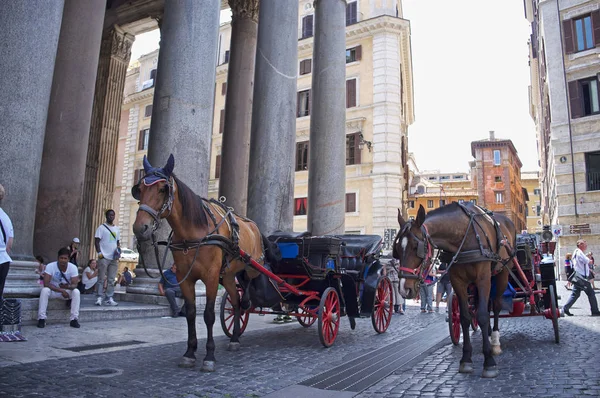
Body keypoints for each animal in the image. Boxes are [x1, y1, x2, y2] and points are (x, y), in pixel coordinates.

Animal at [132, 154, 264, 372]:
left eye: (162, 189)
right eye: (139, 189)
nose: (140, 227)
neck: (193, 232)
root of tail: (253, 225)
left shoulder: (211, 277)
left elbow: (209, 314)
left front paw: (209, 356)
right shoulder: (184, 278)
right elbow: (191, 313)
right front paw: (190, 353)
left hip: (251, 265)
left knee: (249, 283)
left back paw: (246, 302)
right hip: (228, 276)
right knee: (235, 302)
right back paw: (235, 338)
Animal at [394, 204, 516, 378]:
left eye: (416, 247)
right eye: (397, 248)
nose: (404, 288)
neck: (465, 237)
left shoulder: (483, 278)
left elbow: (483, 316)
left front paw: (489, 362)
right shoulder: (458, 282)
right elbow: (465, 317)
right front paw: (466, 359)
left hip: (502, 273)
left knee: (497, 306)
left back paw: (495, 342)